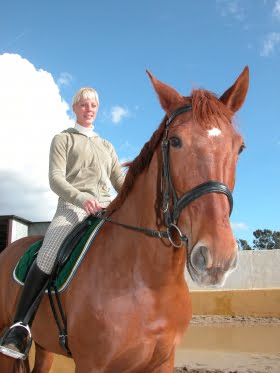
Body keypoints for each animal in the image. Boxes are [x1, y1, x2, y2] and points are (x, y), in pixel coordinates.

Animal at [0, 67, 249, 372]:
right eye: (175, 141)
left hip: (45, 346)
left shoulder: (163, 361)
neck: (150, 284)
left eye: (239, 147)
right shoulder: (91, 364)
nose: (217, 256)